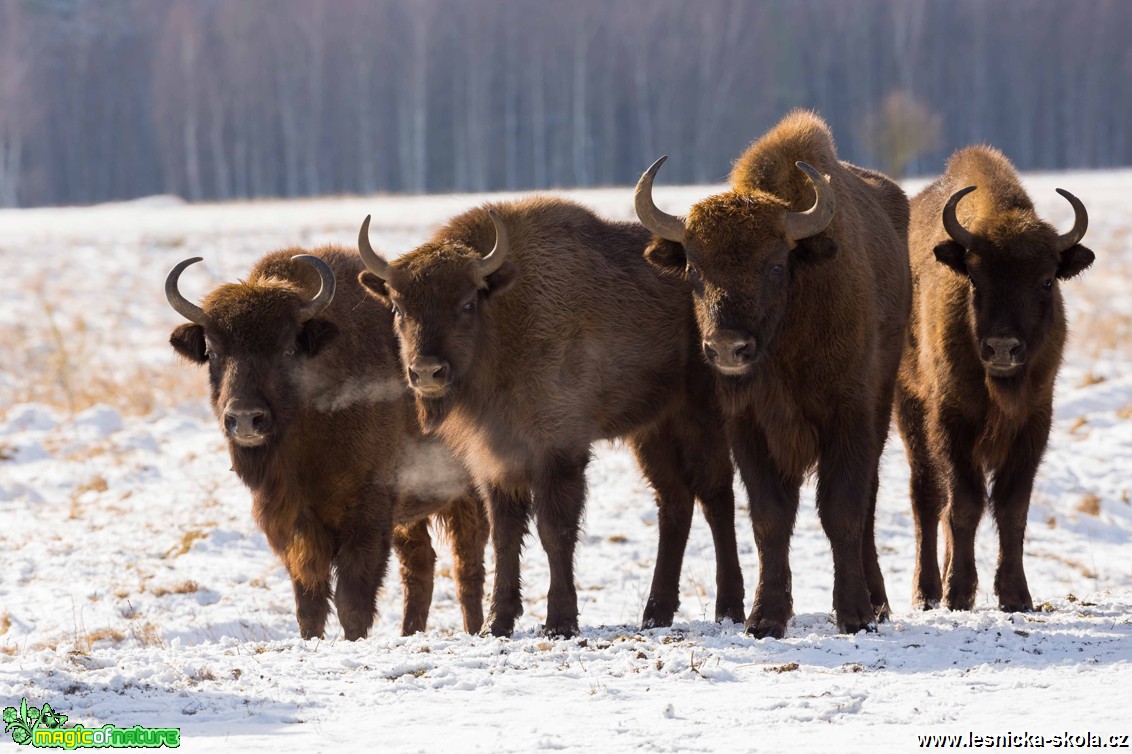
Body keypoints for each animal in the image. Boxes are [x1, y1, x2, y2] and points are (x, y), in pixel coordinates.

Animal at [166, 249, 486, 638]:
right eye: (212, 352)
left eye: (288, 349)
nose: (244, 418)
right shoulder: (296, 522)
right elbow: (309, 600)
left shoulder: (367, 515)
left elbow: (352, 600)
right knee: (421, 566)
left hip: (466, 496)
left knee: (467, 566)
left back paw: (475, 629)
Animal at [353, 194, 742, 633]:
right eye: (398, 308)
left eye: (467, 302)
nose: (426, 372)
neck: (504, 320)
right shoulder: (497, 460)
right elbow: (505, 535)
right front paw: (497, 622)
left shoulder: (558, 451)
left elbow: (554, 530)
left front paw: (560, 620)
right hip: (652, 430)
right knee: (674, 501)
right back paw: (655, 613)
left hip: (699, 418)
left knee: (716, 495)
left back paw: (728, 608)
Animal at [638, 106, 910, 633]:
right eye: (694, 269)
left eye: (776, 265)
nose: (728, 347)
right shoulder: (748, 426)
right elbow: (769, 518)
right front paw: (766, 617)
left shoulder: (848, 415)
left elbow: (843, 510)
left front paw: (854, 614)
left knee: (867, 503)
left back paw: (880, 603)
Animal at [896, 144, 1091, 611]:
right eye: (975, 278)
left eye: (1046, 280)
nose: (1003, 348)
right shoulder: (951, 420)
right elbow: (964, 504)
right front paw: (958, 593)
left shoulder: (1034, 421)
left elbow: (1011, 507)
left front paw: (1016, 596)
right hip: (908, 408)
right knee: (927, 497)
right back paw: (927, 591)